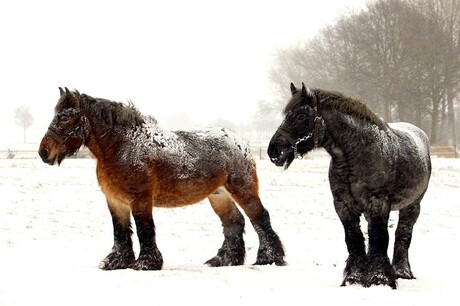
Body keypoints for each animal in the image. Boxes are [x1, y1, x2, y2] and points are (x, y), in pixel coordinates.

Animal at [39, 88, 286, 270]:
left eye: (65, 118)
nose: (44, 152)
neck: (121, 147)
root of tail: (241, 142)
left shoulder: (140, 199)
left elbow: (144, 229)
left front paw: (146, 263)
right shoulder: (115, 201)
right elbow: (120, 232)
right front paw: (115, 262)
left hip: (242, 189)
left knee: (259, 217)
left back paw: (269, 258)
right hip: (219, 195)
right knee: (234, 222)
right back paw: (224, 260)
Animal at [268, 82, 434, 288]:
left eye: (301, 116)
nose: (273, 150)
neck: (358, 155)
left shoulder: (378, 204)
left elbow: (379, 238)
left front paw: (380, 278)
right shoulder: (343, 205)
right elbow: (354, 239)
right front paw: (354, 277)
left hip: (412, 206)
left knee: (403, 234)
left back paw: (403, 272)